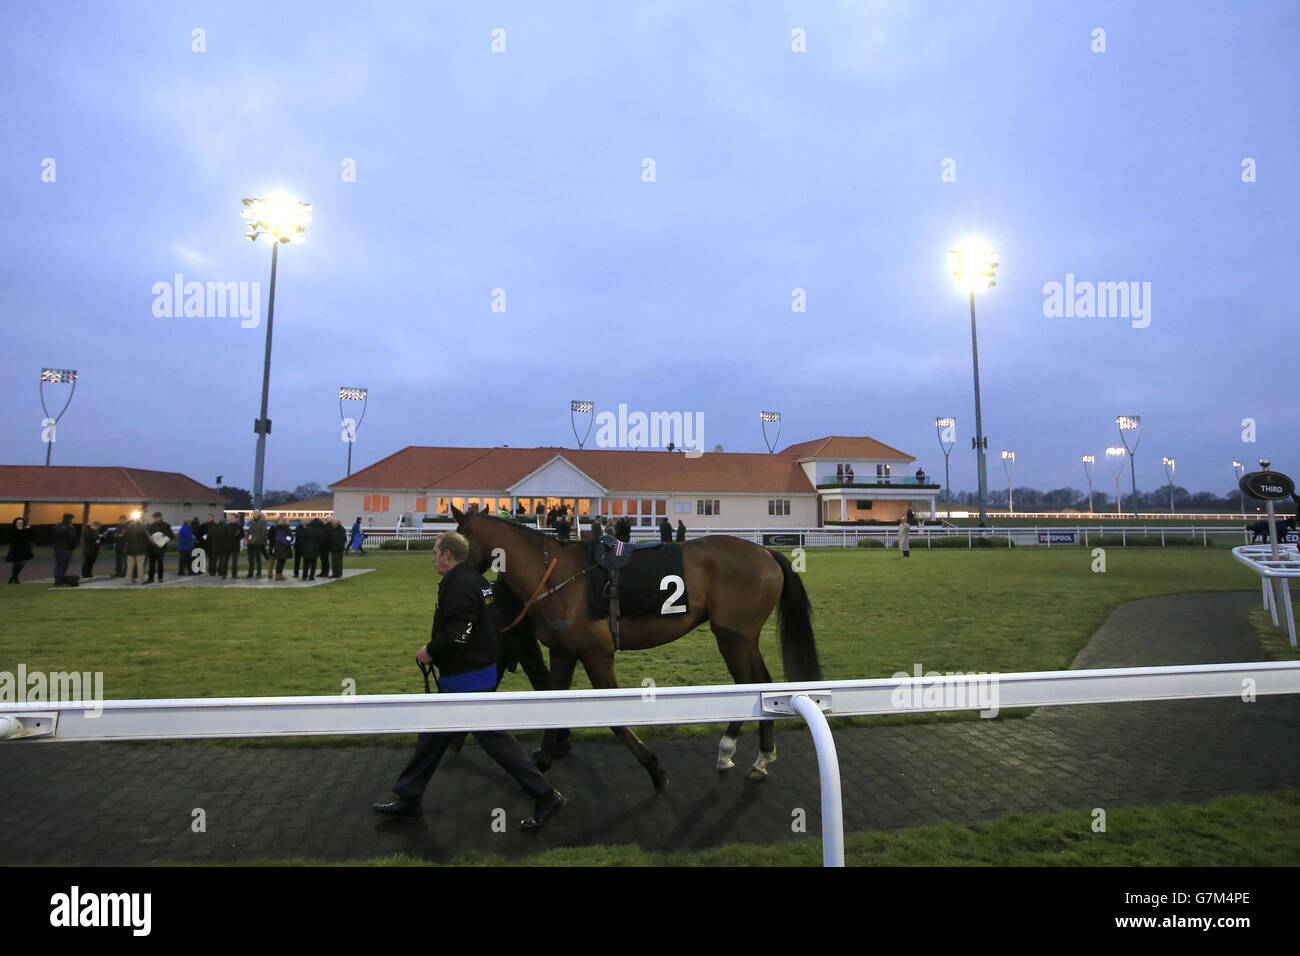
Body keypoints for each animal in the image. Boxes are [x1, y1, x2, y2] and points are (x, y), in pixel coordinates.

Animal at [452, 509, 816, 790]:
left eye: (456, 539)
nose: (448, 573)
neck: (554, 576)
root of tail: (766, 553)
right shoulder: (564, 652)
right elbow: (553, 705)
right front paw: (542, 760)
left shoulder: (597, 654)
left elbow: (614, 719)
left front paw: (654, 767)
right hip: (742, 638)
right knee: (761, 684)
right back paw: (755, 756)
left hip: (733, 637)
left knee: (749, 685)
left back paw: (740, 752)